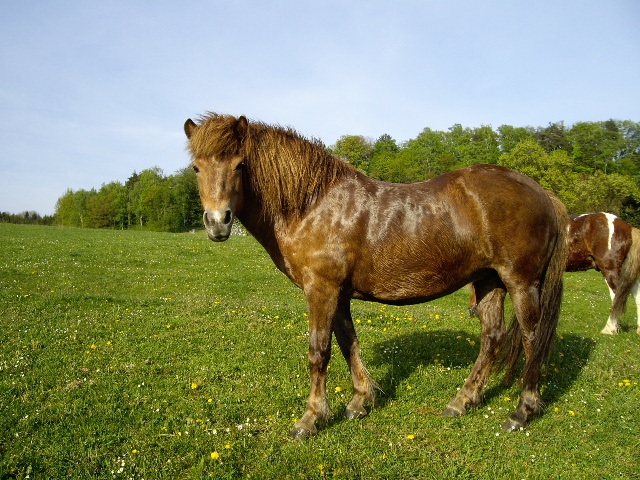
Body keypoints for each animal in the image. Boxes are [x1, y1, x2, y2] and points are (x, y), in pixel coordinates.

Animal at [182, 112, 568, 438]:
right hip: (489, 280)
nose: (217, 222)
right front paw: (359, 402)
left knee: (533, 340)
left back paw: (522, 411)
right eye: (197, 168)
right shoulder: (338, 294)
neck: (312, 204)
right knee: (492, 337)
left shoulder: (321, 289)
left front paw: (311, 419)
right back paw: (462, 402)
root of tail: (542, 192)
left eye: (239, 165)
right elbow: (347, 342)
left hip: (521, 283)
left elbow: (318, 352)